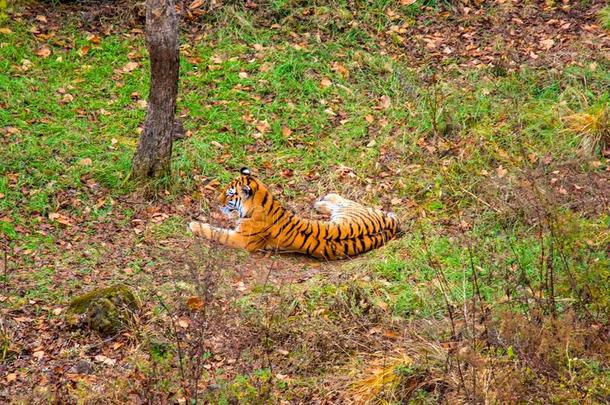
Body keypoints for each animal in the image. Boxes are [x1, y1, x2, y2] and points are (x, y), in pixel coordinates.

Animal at [190, 166, 400, 258]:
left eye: (229, 193)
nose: (217, 202)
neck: (264, 202)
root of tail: (392, 224)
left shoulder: (241, 240)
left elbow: (216, 232)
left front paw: (193, 225)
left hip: (349, 210)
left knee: (345, 201)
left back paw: (324, 198)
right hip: (348, 214)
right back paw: (320, 202)